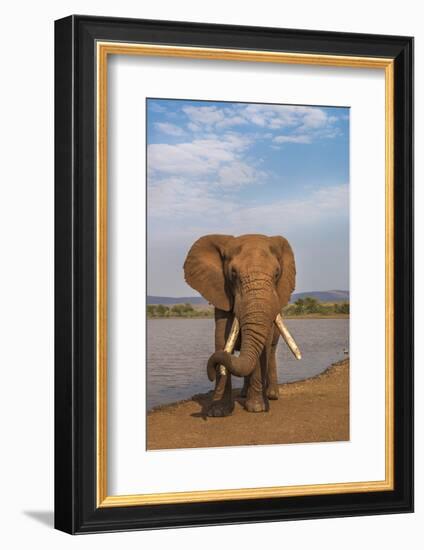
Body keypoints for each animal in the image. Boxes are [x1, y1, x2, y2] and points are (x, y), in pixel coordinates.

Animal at [182, 234, 298, 418]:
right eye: (233, 273)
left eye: (277, 273)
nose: (211, 374)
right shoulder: (221, 296)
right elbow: (221, 340)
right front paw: (218, 412)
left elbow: (262, 348)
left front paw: (257, 408)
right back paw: (244, 394)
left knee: (271, 351)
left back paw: (272, 395)